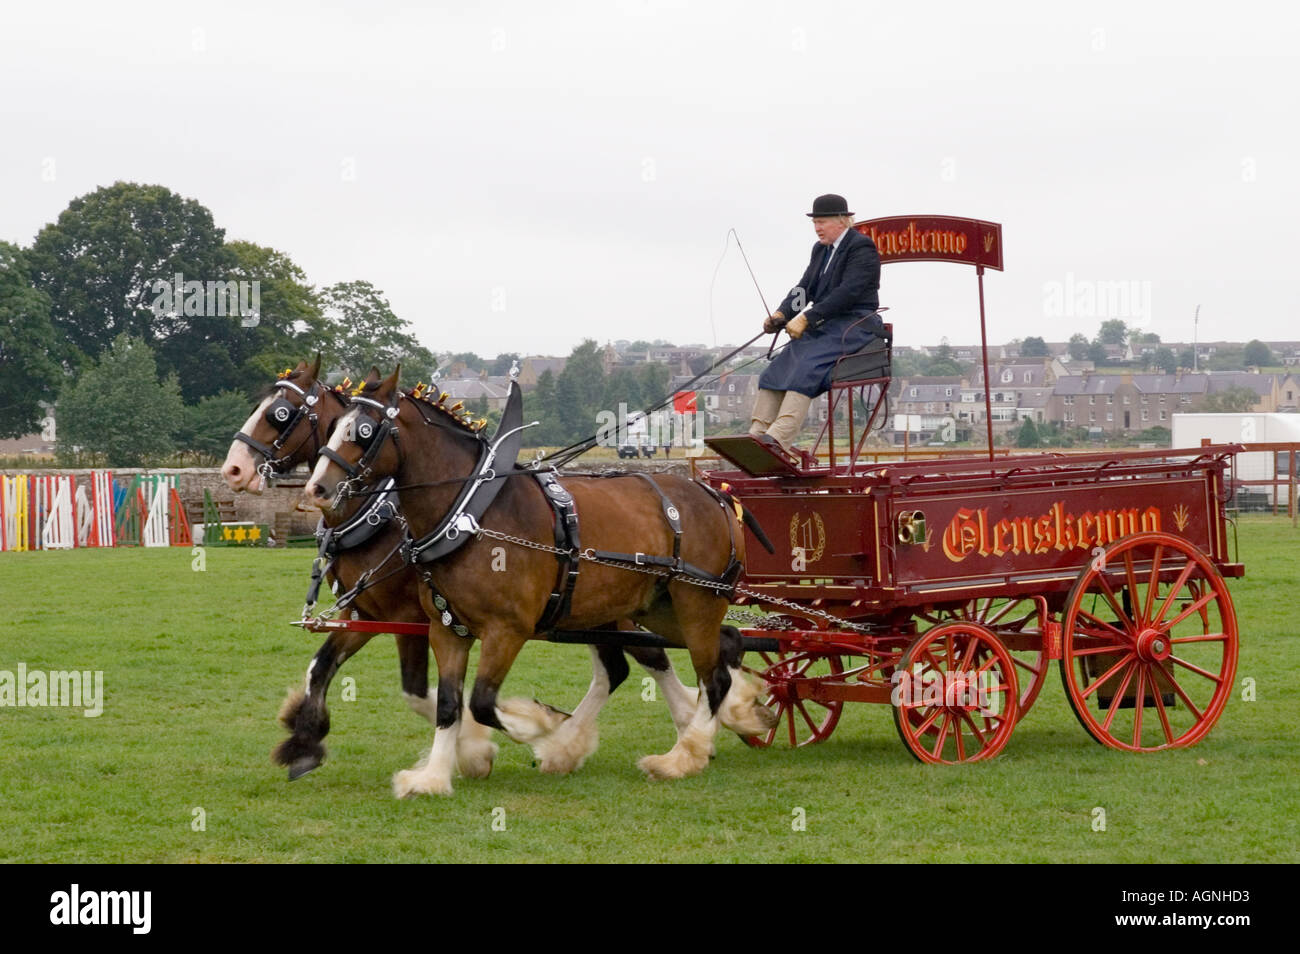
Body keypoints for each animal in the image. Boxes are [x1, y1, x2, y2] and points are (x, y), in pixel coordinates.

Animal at [218, 358, 738, 785]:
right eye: (333, 429)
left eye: (279, 415)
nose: (233, 470)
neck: (465, 512)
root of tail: (710, 494)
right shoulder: (380, 613)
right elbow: (327, 668)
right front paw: (305, 742)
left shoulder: (429, 620)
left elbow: (443, 696)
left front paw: (498, 744)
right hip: (636, 607)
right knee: (664, 659)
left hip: (683, 603)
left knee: (695, 667)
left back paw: (683, 745)